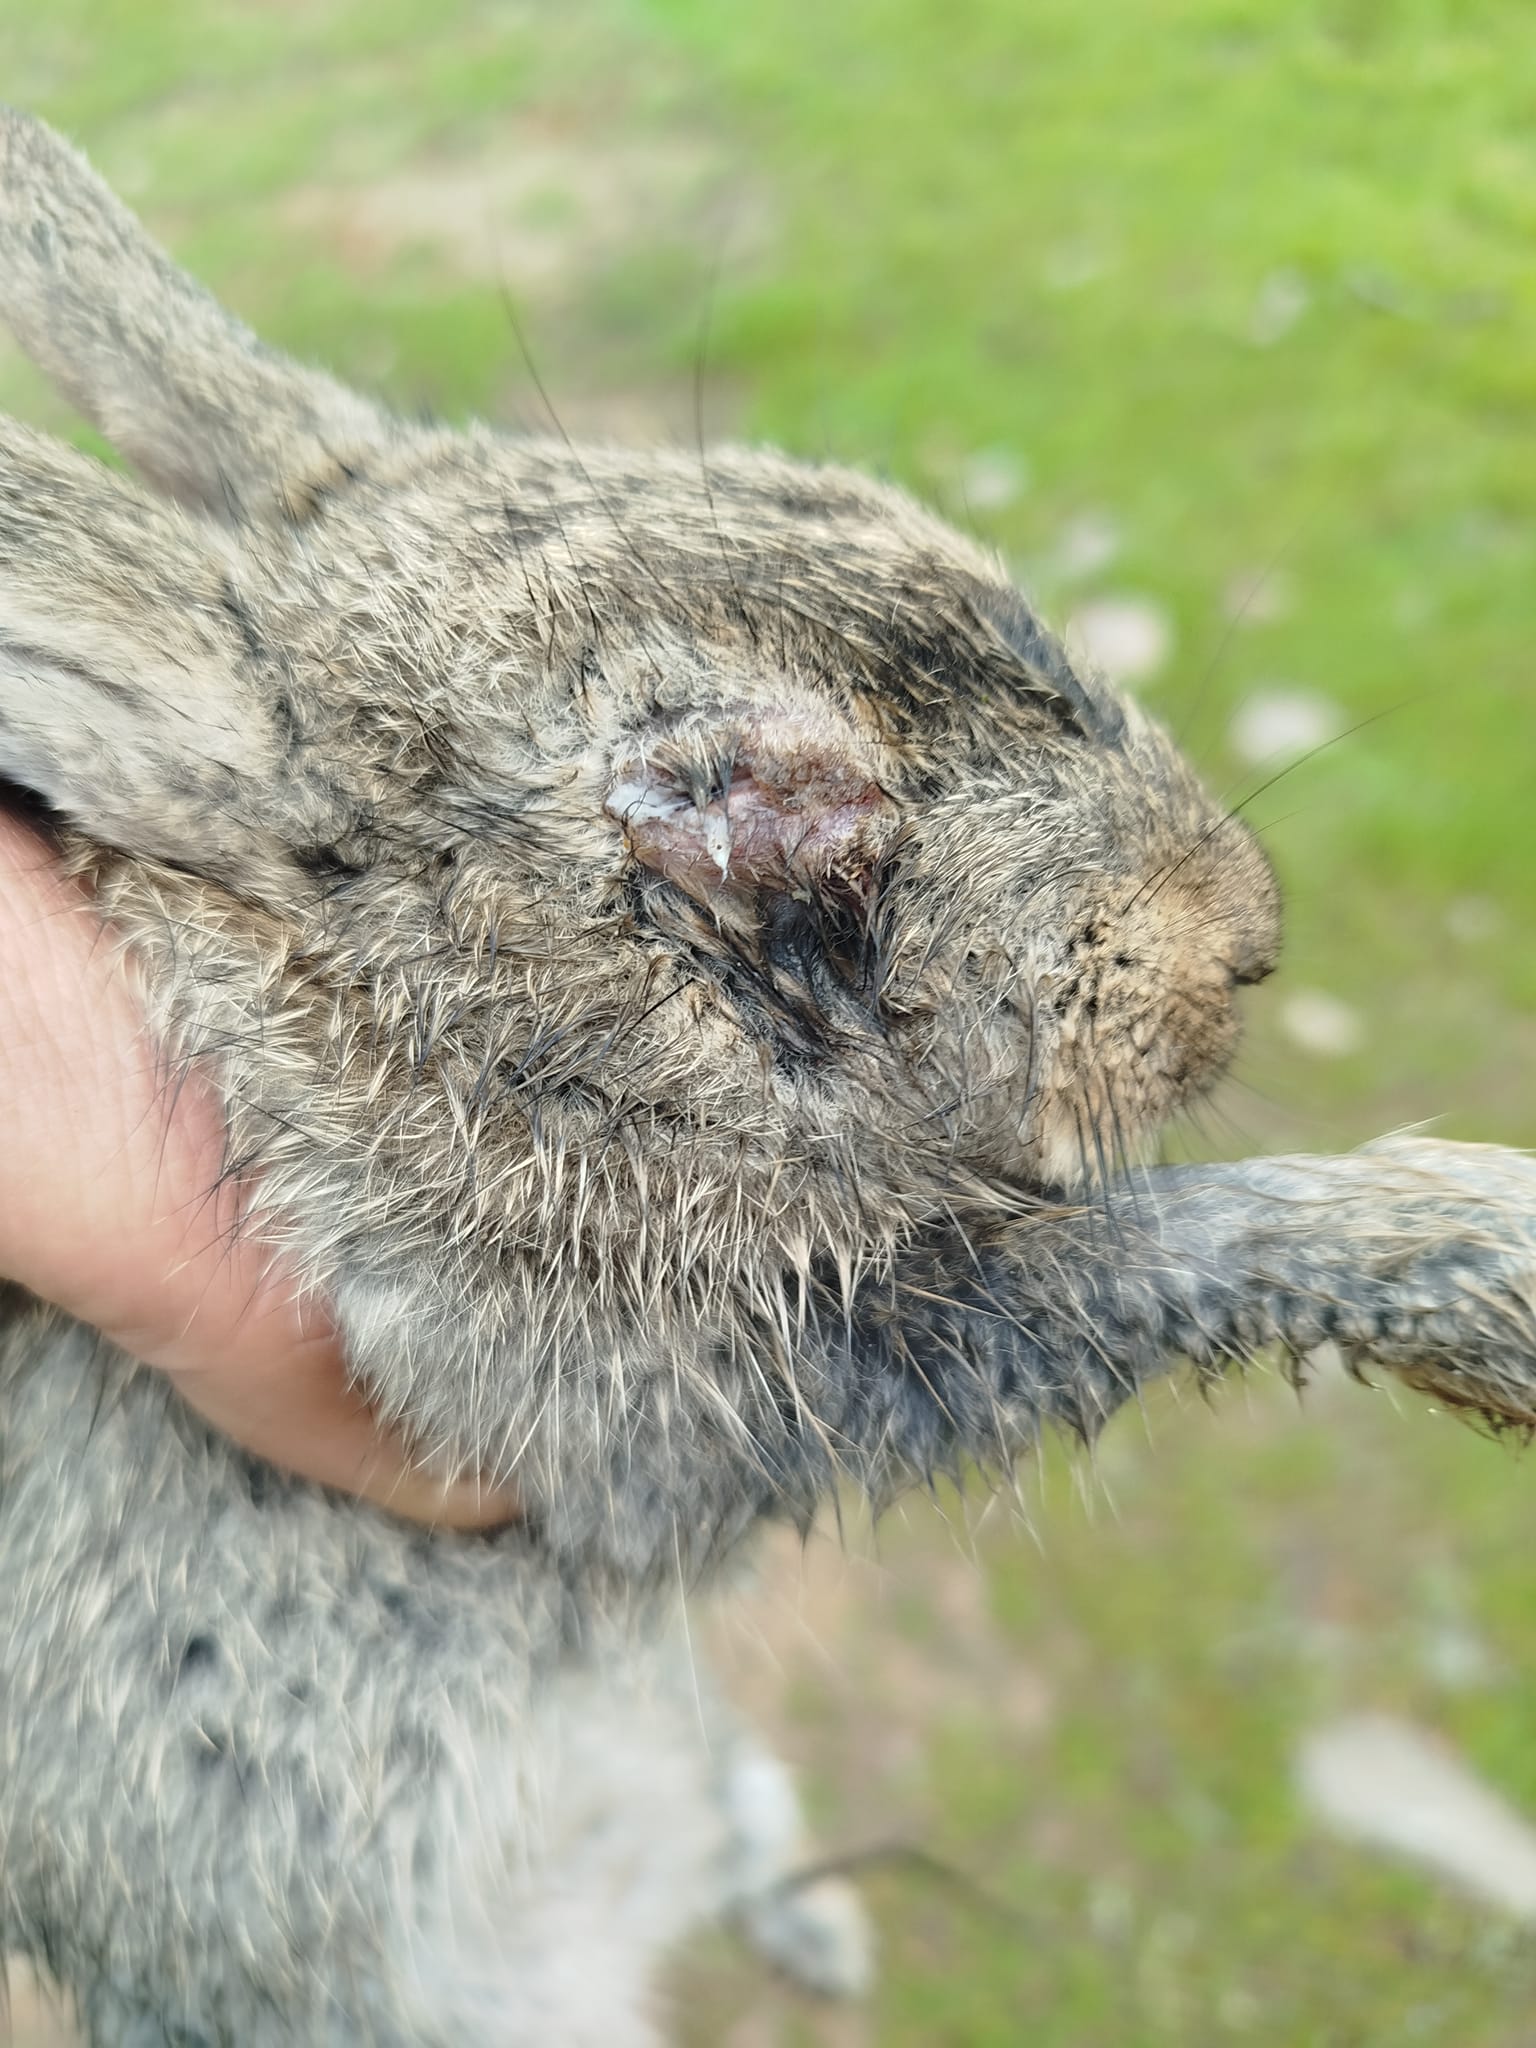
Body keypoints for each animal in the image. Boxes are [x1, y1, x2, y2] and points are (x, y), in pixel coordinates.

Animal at [3, 112, 1536, 2048]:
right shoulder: (686, 1378)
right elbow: (1176, 1251)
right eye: (743, 809)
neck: (417, 1014)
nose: (1242, 944)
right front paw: (1499, 1264)